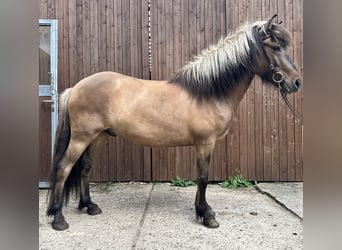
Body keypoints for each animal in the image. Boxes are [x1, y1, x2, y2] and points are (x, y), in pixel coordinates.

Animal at [46, 14, 302, 230]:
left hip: (97, 137)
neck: (208, 92)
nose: (296, 82)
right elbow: (203, 178)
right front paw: (207, 215)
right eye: (276, 47)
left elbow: (200, 179)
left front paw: (200, 211)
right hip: (81, 138)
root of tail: (76, 87)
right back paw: (58, 218)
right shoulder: (205, 143)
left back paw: (90, 206)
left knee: (85, 168)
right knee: (63, 168)